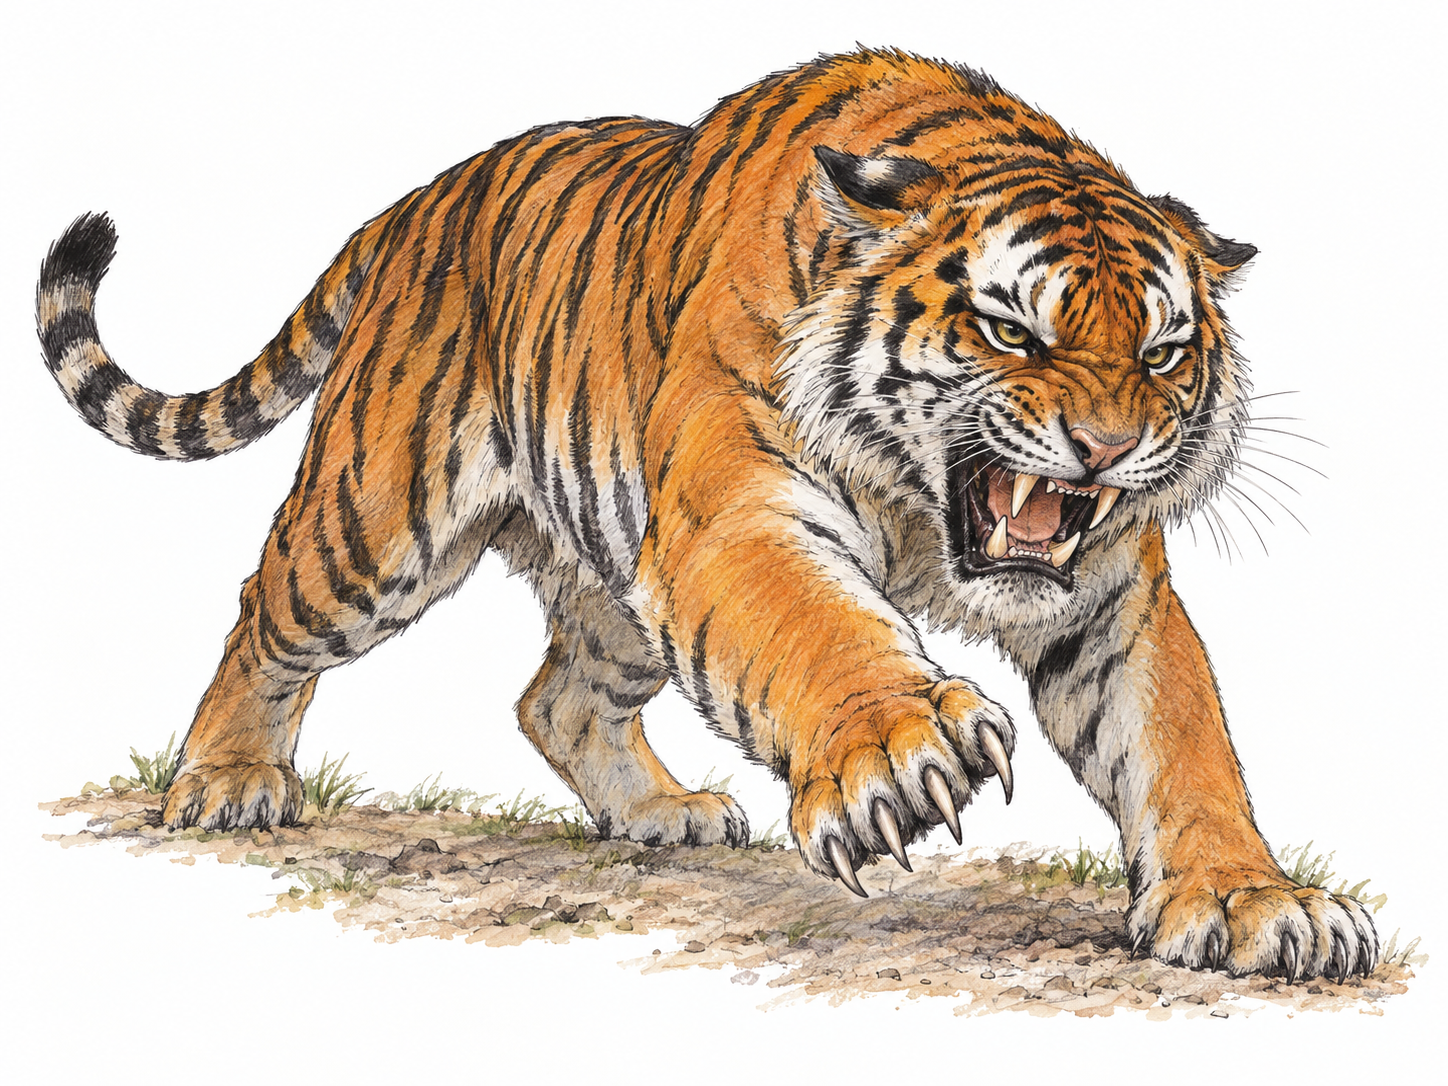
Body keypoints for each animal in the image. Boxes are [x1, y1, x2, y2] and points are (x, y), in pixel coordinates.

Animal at [35, 48, 1375, 981]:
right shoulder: (737, 517)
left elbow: (1180, 743)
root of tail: (414, 202)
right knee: (264, 616)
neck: (920, 510)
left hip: (617, 584)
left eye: (1160, 353)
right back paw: (225, 781)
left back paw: (661, 816)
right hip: (374, 527)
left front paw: (1255, 905)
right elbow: (819, 631)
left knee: (555, 697)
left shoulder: (1106, 597)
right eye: (1011, 331)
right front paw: (898, 749)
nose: (1107, 446)